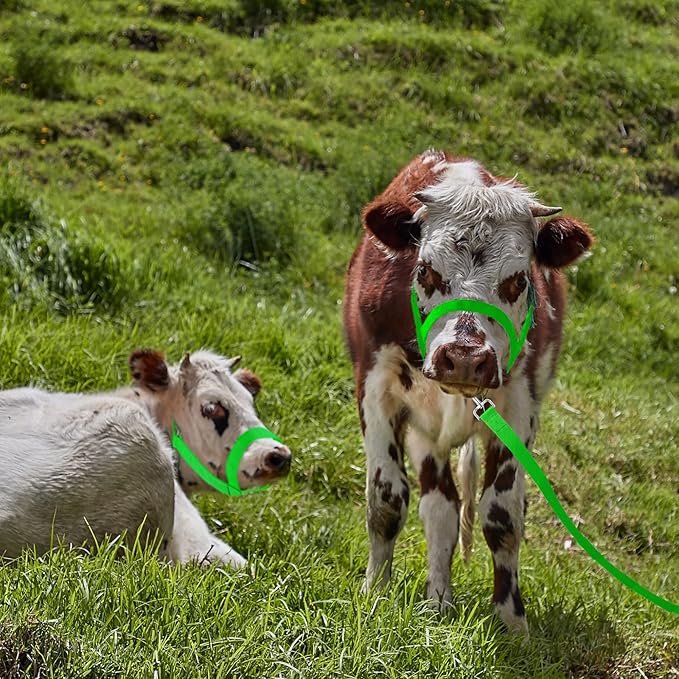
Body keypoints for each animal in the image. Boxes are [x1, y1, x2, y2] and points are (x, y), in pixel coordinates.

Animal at [343, 149, 593, 634]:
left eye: (519, 279)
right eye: (425, 270)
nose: (463, 356)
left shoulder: (519, 407)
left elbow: (502, 515)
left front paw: (511, 620)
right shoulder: (376, 388)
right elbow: (386, 500)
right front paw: (374, 593)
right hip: (425, 431)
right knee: (439, 510)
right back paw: (438, 600)